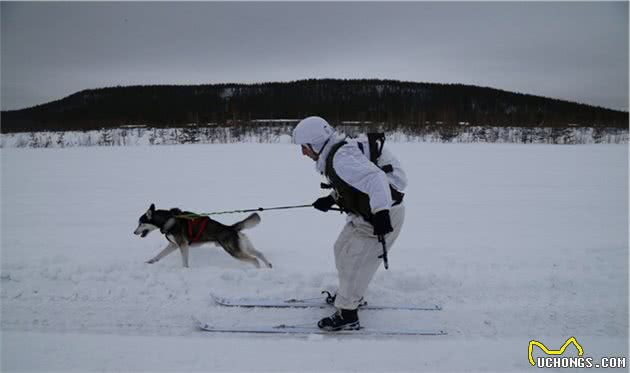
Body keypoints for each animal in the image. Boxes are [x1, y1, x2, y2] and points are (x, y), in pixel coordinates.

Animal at [133, 203, 272, 268]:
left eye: (140, 223)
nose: (134, 232)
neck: (168, 219)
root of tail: (231, 227)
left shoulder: (182, 245)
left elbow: (184, 261)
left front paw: (185, 270)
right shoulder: (173, 245)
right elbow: (159, 255)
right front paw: (150, 262)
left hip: (234, 251)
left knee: (254, 259)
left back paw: (258, 268)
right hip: (244, 246)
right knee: (259, 253)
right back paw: (268, 266)